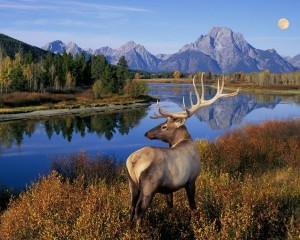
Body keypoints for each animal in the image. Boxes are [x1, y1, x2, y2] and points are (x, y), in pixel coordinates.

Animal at [126, 73, 239, 227]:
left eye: (164, 126)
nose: (146, 133)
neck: (185, 140)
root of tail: (133, 161)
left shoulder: (169, 188)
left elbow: (170, 205)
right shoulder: (191, 179)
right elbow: (192, 205)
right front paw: (196, 220)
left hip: (132, 183)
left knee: (131, 206)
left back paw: (129, 227)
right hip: (149, 187)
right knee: (139, 209)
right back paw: (139, 230)